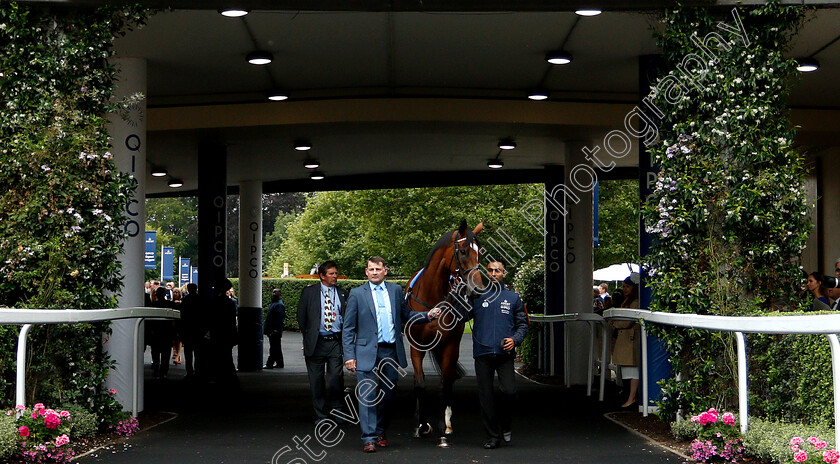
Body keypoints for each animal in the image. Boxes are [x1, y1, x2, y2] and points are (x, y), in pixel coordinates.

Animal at [404, 219, 482, 448]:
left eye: (480, 252)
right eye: (463, 251)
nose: (478, 288)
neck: (433, 298)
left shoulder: (450, 345)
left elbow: (444, 384)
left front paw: (441, 429)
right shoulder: (416, 347)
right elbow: (420, 383)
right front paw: (422, 425)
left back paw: (447, 422)